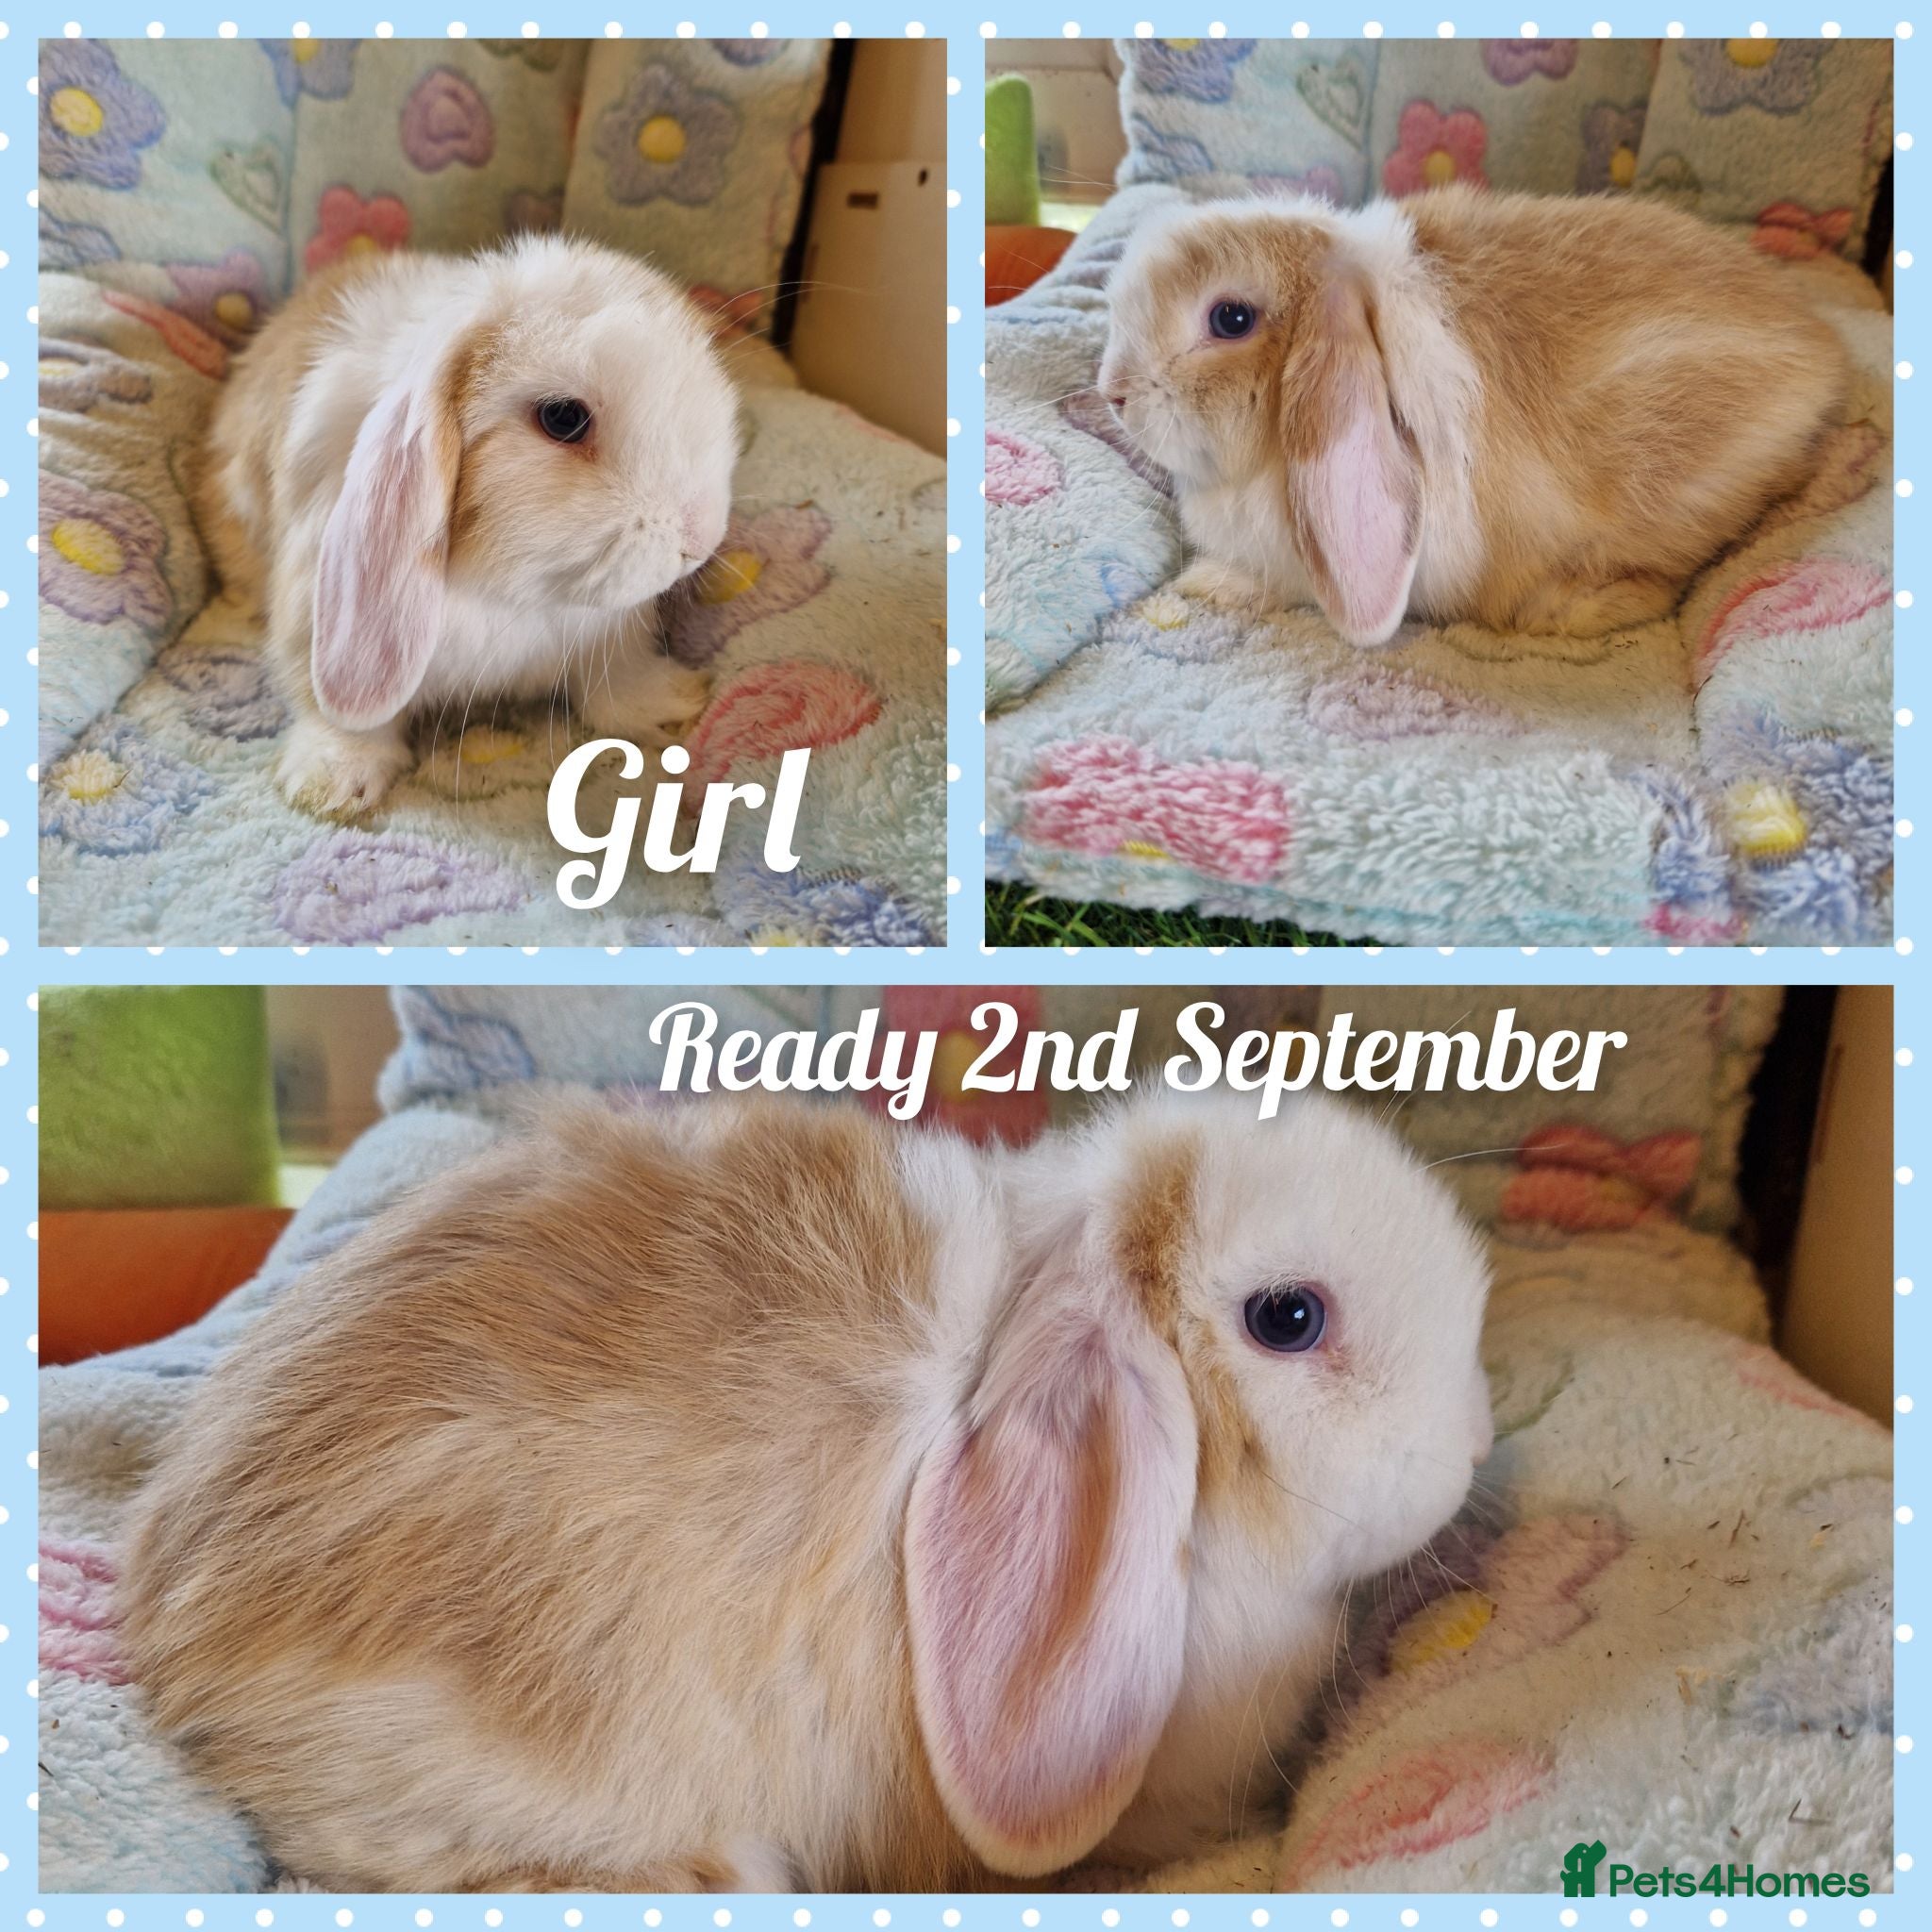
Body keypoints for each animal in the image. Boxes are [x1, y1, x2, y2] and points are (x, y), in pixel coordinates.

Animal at [196, 234, 737, 817]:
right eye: (563, 418)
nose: (700, 537)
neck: (510, 596)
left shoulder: (609, 636)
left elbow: (619, 682)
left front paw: (677, 701)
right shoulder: (311, 614)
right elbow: (336, 715)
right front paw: (333, 784)